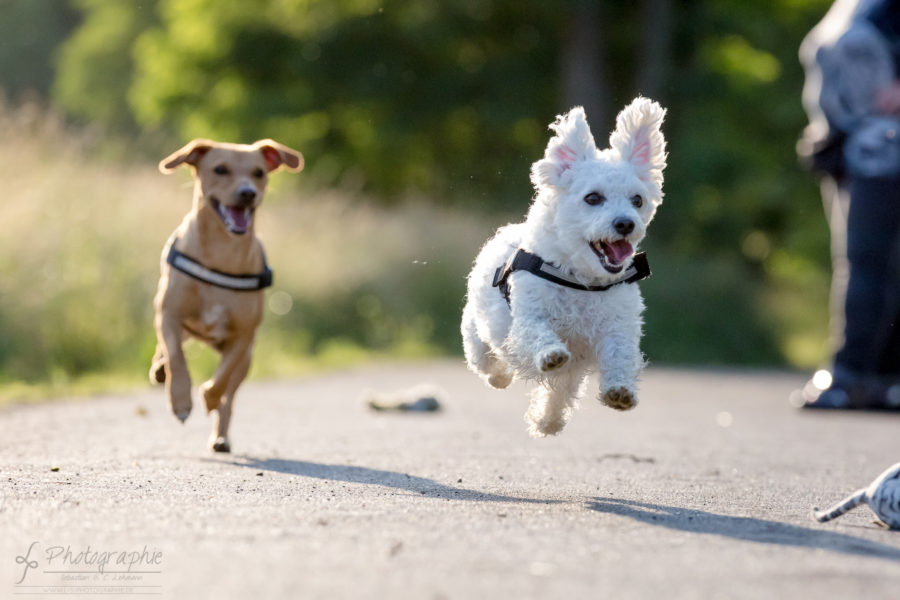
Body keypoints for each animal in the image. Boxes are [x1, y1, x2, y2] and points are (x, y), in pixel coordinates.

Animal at [148, 139, 302, 450]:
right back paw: (159, 370)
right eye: (220, 169)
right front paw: (180, 400)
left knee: (230, 396)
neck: (222, 252)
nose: (248, 193)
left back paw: (221, 437)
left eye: (258, 172)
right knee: (168, 350)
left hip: (247, 359)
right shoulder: (169, 314)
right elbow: (176, 357)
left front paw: (208, 397)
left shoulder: (243, 337)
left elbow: (221, 380)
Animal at [460, 97, 664, 436]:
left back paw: (547, 420)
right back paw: (501, 377)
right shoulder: (528, 318)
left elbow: (620, 355)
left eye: (637, 200)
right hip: (478, 334)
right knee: (487, 359)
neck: (582, 281)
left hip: (568, 376)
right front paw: (550, 353)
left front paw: (620, 391)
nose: (626, 223)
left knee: (558, 394)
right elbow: (536, 334)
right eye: (592, 198)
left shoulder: (617, 327)